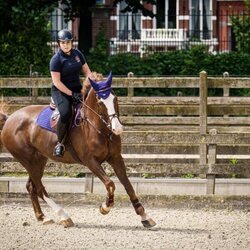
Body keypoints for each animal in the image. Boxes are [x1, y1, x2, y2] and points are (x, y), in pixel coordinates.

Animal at [0, 73, 156, 229]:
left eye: (115, 98)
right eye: (100, 101)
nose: (117, 128)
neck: (98, 128)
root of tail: (10, 119)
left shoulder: (116, 157)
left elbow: (128, 185)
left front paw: (145, 216)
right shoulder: (90, 161)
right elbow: (110, 184)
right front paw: (105, 207)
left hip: (38, 160)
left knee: (31, 187)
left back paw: (42, 217)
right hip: (29, 160)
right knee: (39, 189)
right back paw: (64, 216)